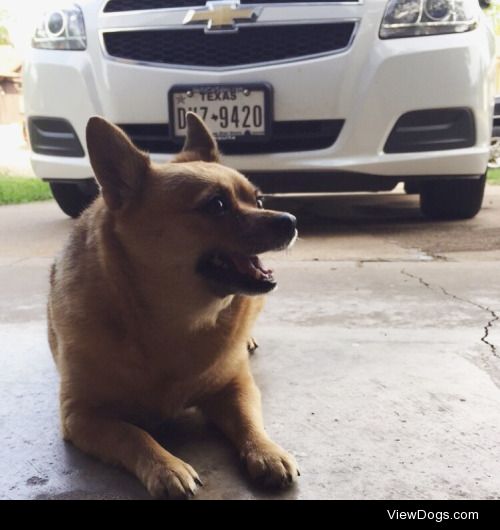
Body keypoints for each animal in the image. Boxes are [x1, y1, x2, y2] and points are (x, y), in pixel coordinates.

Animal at [48, 113, 300, 498]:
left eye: (258, 201)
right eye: (217, 205)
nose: (291, 220)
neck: (176, 322)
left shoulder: (236, 385)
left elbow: (248, 420)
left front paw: (268, 451)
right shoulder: (81, 415)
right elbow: (132, 433)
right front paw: (166, 466)